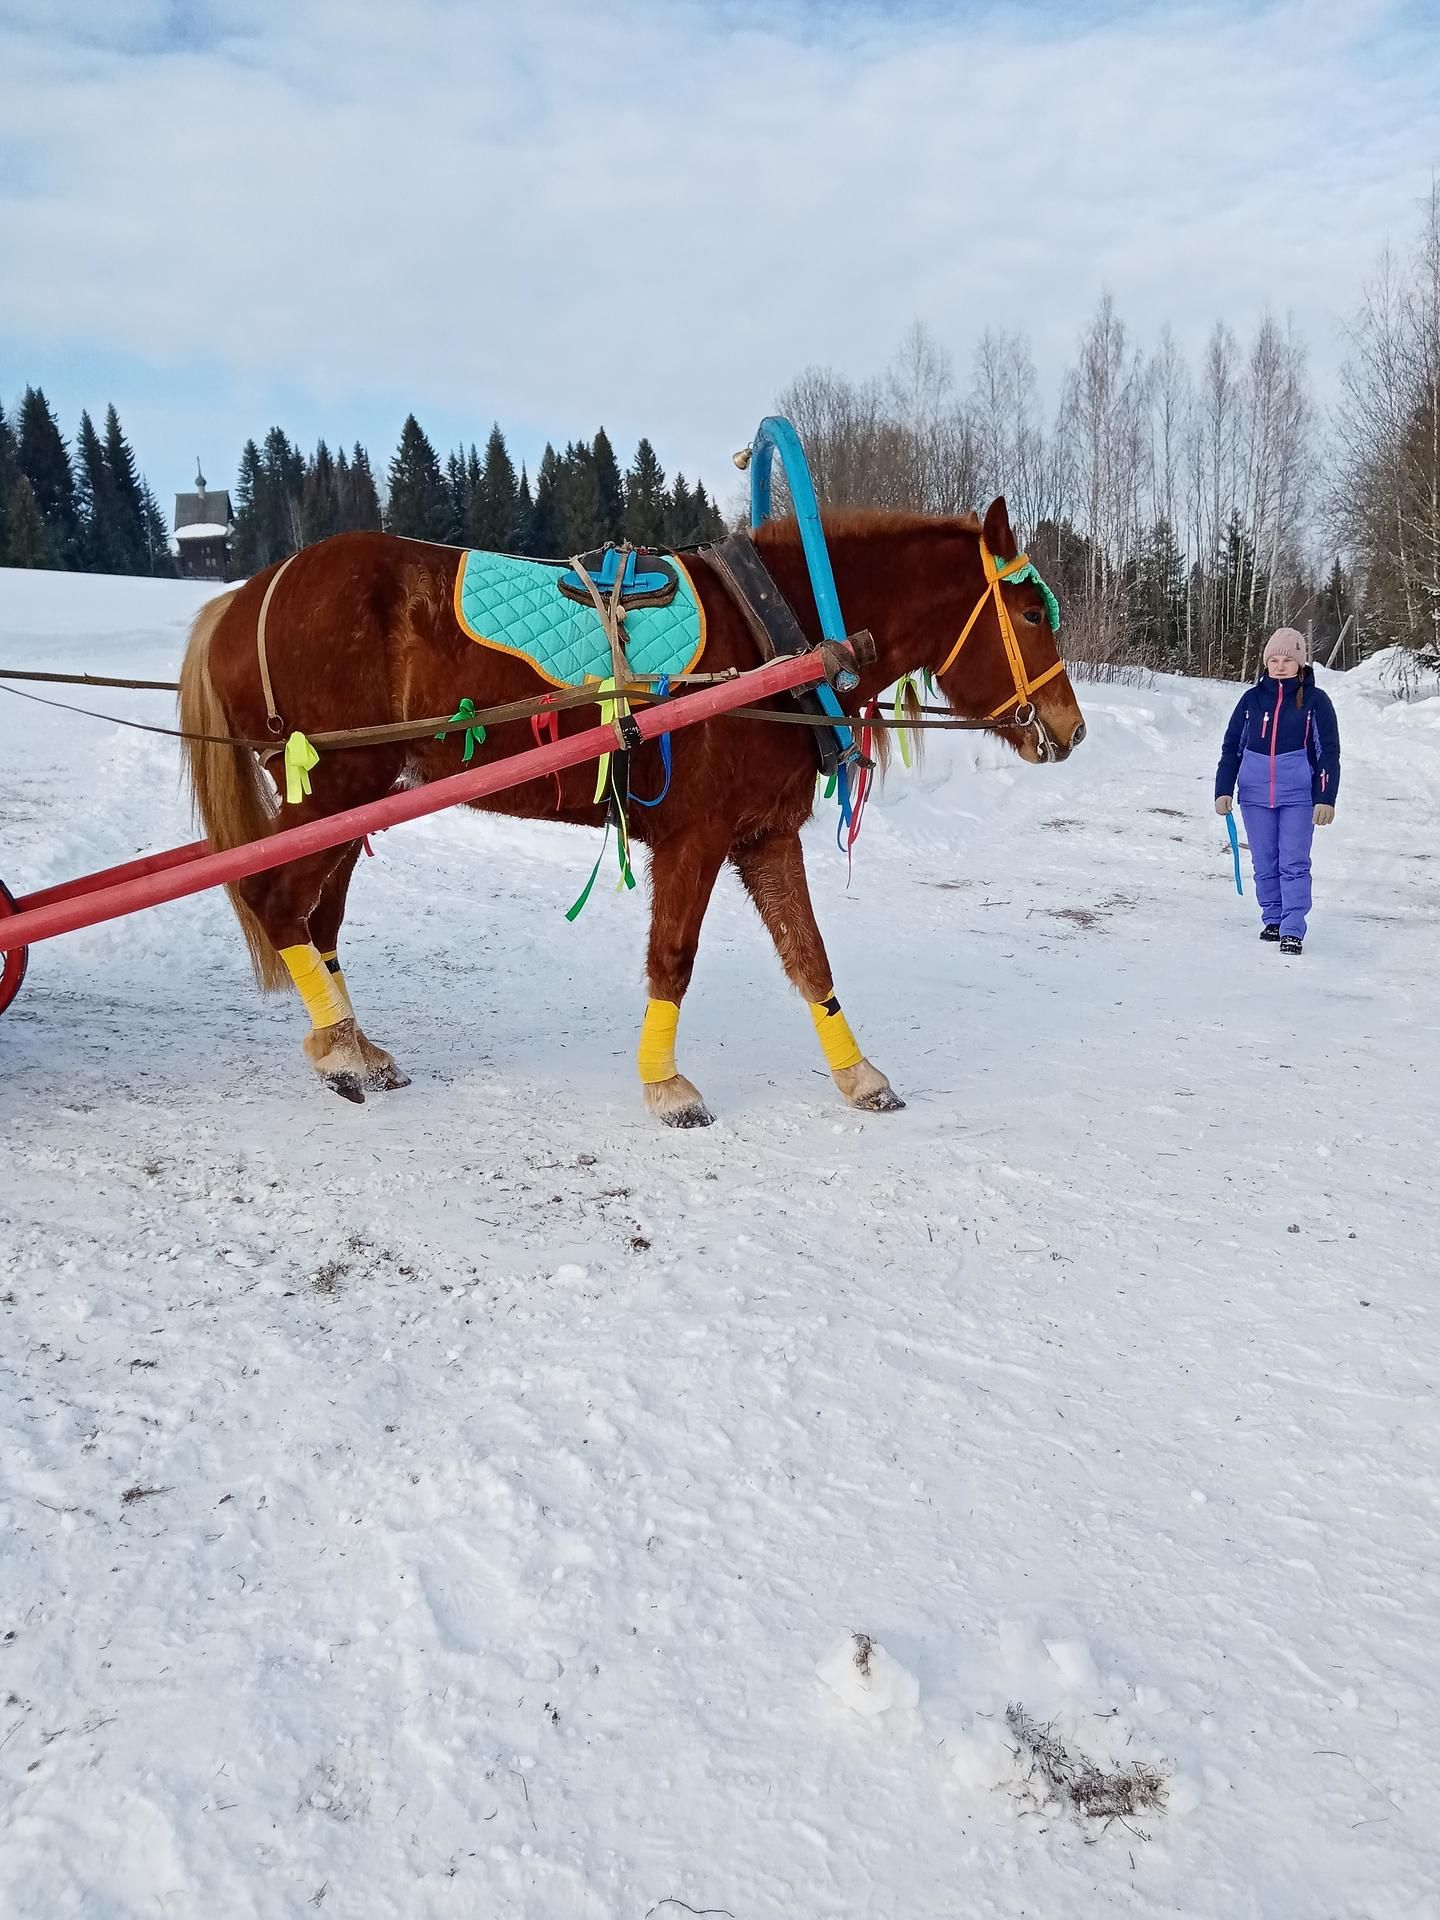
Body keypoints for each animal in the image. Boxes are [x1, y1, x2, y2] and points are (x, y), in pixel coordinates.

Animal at [177, 499, 1082, 1121]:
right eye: (1031, 612)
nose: (1071, 729)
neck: (782, 637)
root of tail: (240, 599)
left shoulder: (764, 836)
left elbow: (810, 957)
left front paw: (857, 1073)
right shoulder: (696, 837)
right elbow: (674, 958)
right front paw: (667, 1085)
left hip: (349, 801)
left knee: (318, 922)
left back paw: (353, 1045)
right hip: (334, 788)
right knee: (275, 901)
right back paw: (336, 1055)